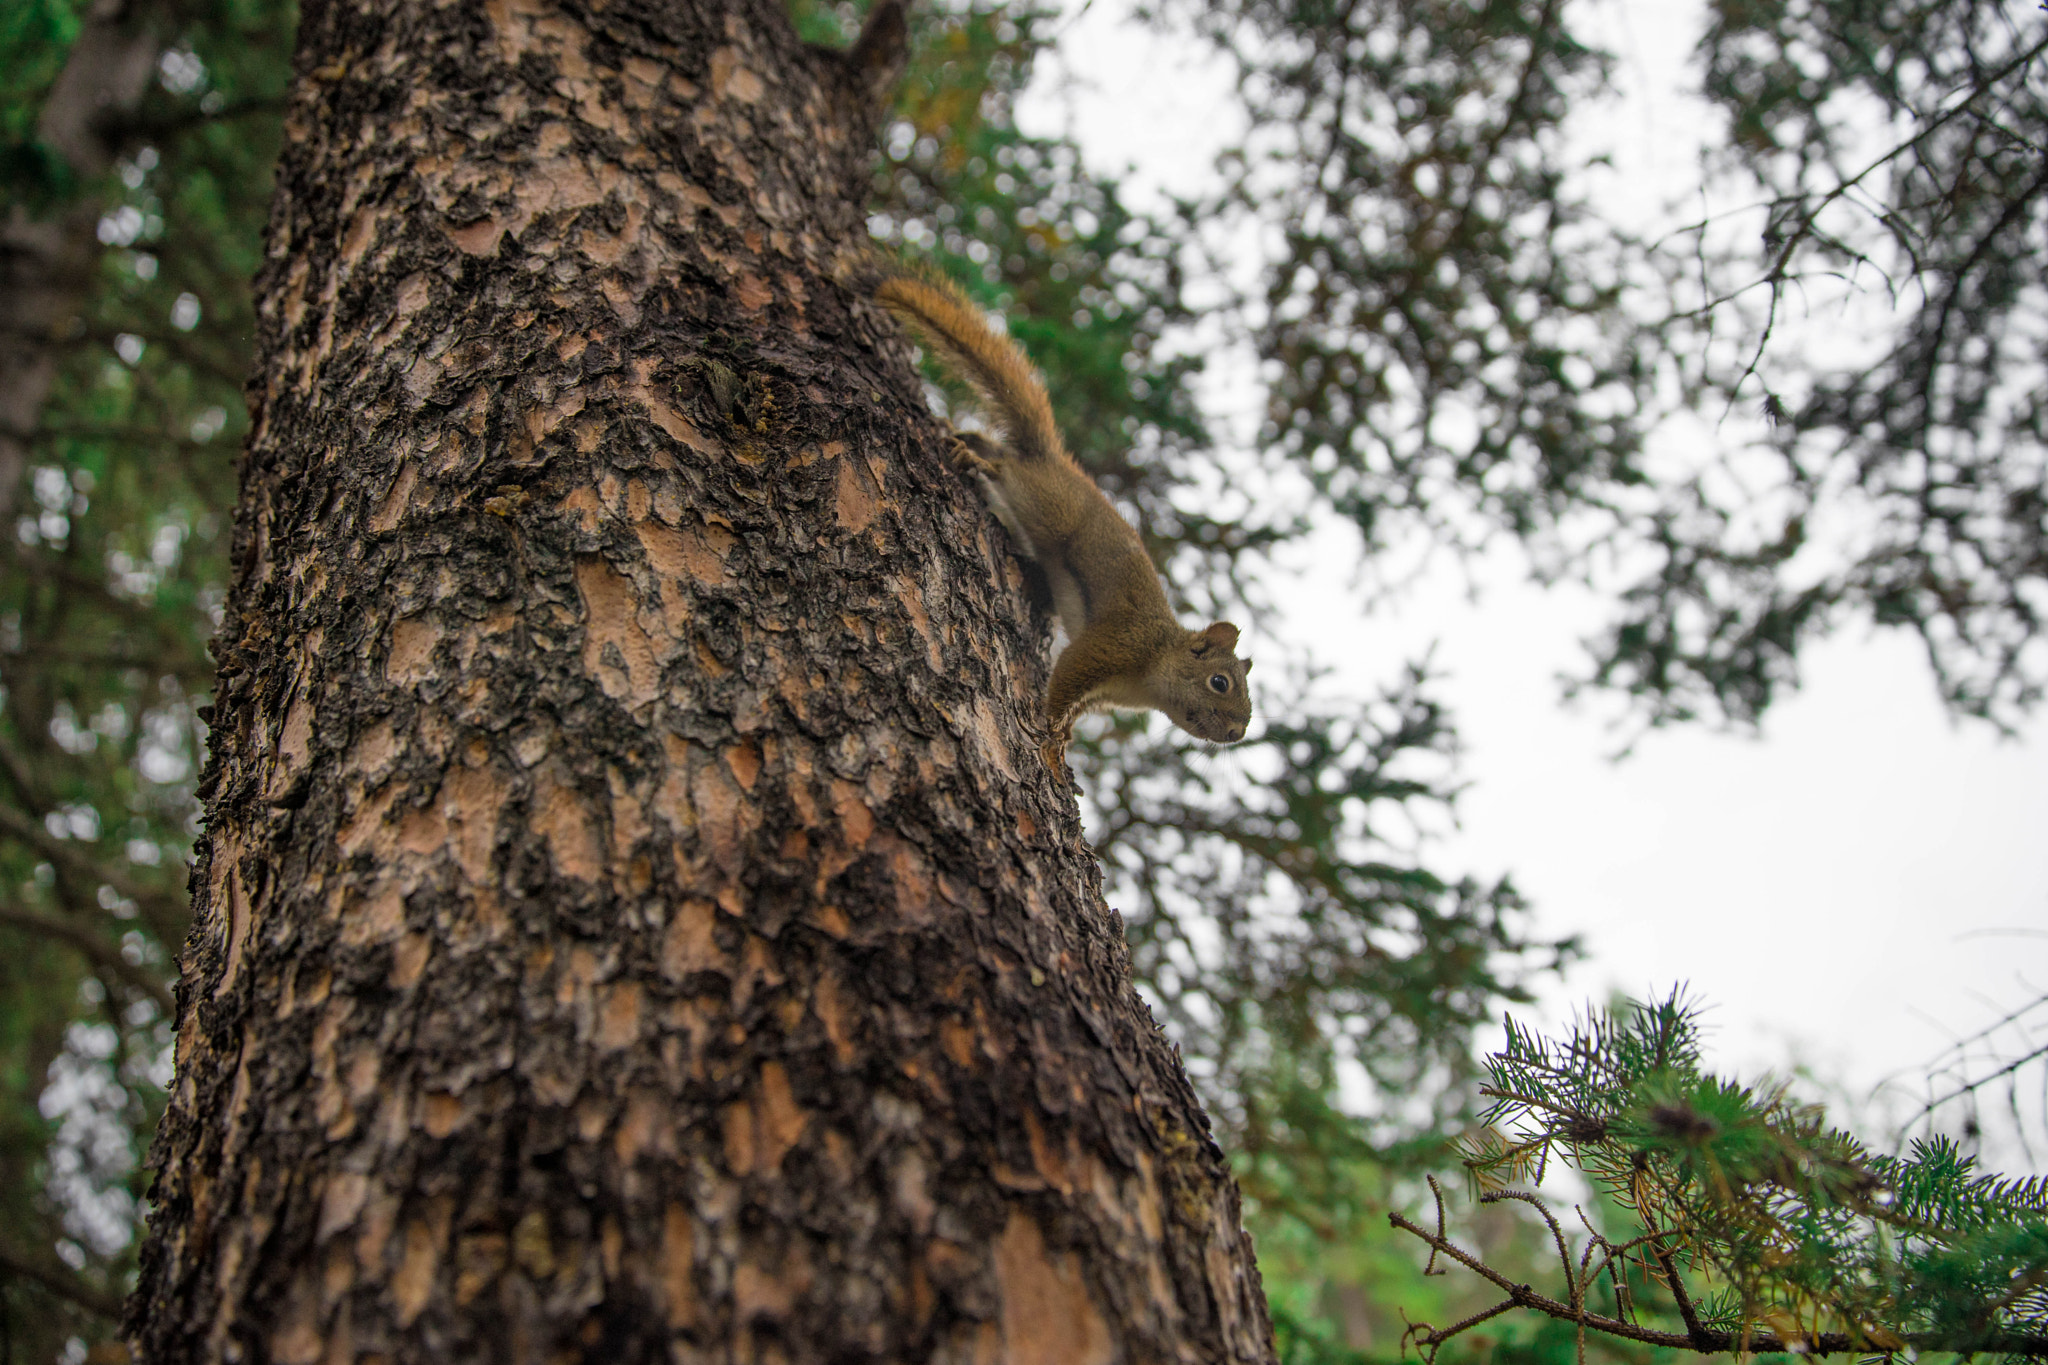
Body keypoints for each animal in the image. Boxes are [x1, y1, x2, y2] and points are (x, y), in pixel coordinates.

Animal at [875, 270, 1253, 763]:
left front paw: (1066, 734)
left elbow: (1079, 708)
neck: (1152, 670)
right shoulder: (1115, 644)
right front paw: (1051, 734)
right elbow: (1068, 677)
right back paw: (980, 462)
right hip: (1045, 505)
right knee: (1009, 469)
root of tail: (1052, 459)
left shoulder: (1108, 692)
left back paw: (967, 441)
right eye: (1220, 682)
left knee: (996, 446)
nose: (1237, 733)